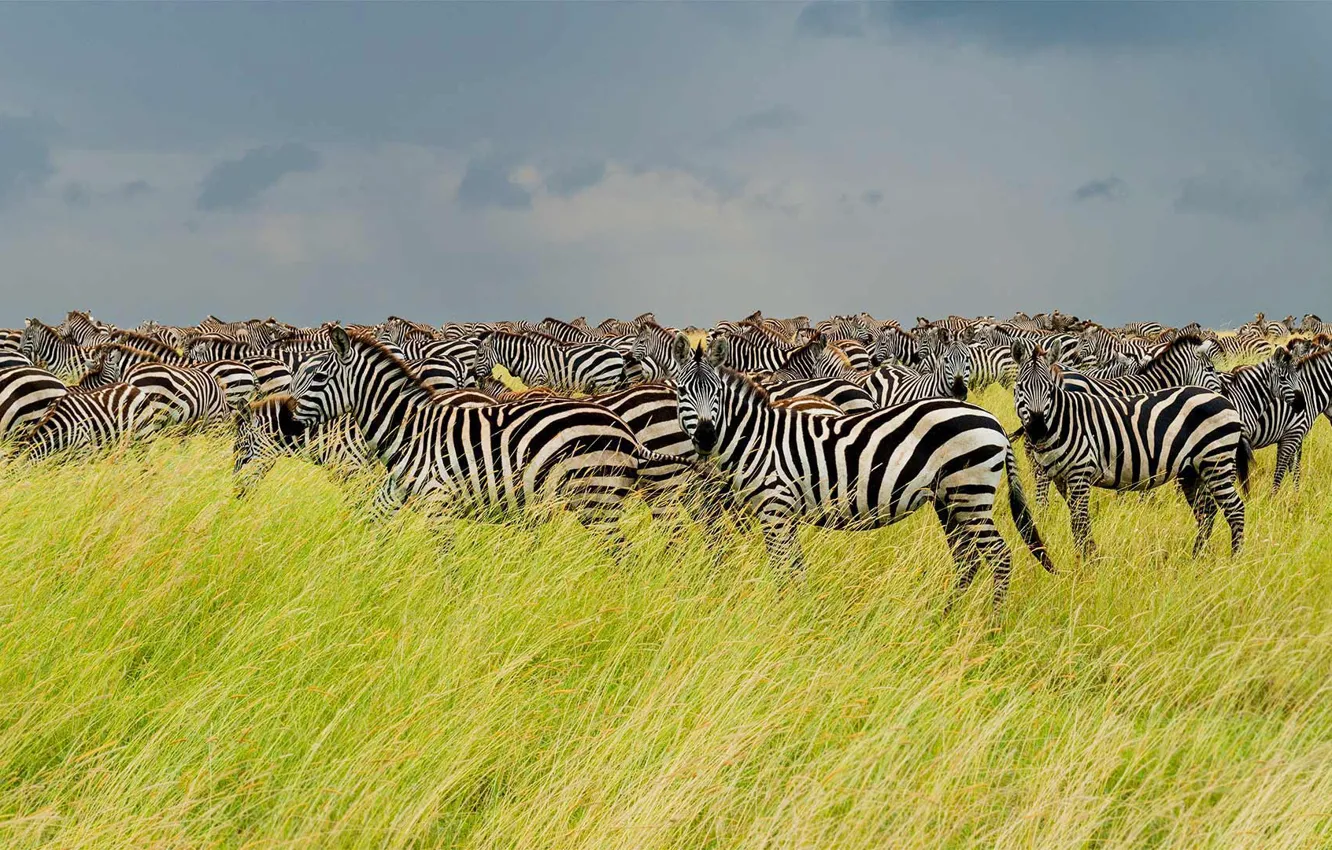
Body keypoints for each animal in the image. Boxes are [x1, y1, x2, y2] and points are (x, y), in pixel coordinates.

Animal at [474, 333, 628, 399]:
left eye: (480, 354)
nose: (475, 377)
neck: (526, 358)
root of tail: (617, 353)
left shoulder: (537, 380)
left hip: (606, 382)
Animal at [671, 331, 1054, 607]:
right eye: (683, 393)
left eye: (715, 392)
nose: (705, 436)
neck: (758, 439)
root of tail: (994, 422)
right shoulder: (784, 514)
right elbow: (795, 568)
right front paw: (802, 610)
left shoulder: (775, 510)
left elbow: (782, 570)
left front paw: (784, 614)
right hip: (949, 500)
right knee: (967, 558)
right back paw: (945, 616)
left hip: (970, 494)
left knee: (1000, 557)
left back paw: (992, 625)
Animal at [1017, 339, 1246, 559]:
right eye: (1210, 368)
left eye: (1048, 389)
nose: (1037, 428)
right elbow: (1079, 518)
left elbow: (1080, 519)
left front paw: (1088, 560)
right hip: (1196, 469)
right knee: (1209, 510)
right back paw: (1201, 556)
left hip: (1214, 461)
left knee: (1232, 509)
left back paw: (1232, 559)